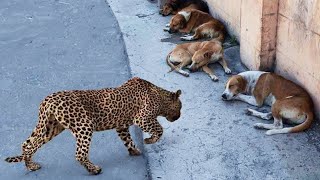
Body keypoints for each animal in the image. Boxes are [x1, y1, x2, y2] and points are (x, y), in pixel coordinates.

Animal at [4, 77, 182, 174]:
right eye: (180, 107)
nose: (179, 116)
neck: (160, 95)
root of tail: (48, 100)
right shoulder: (143, 118)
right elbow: (159, 129)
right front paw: (148, 141)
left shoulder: (121, 126)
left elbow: (127, 139)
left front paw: (134, 151)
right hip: (84, 125)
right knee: (79, 154)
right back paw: (94, 170)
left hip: (50, 127)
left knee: (27, 144)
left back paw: (31, 166)